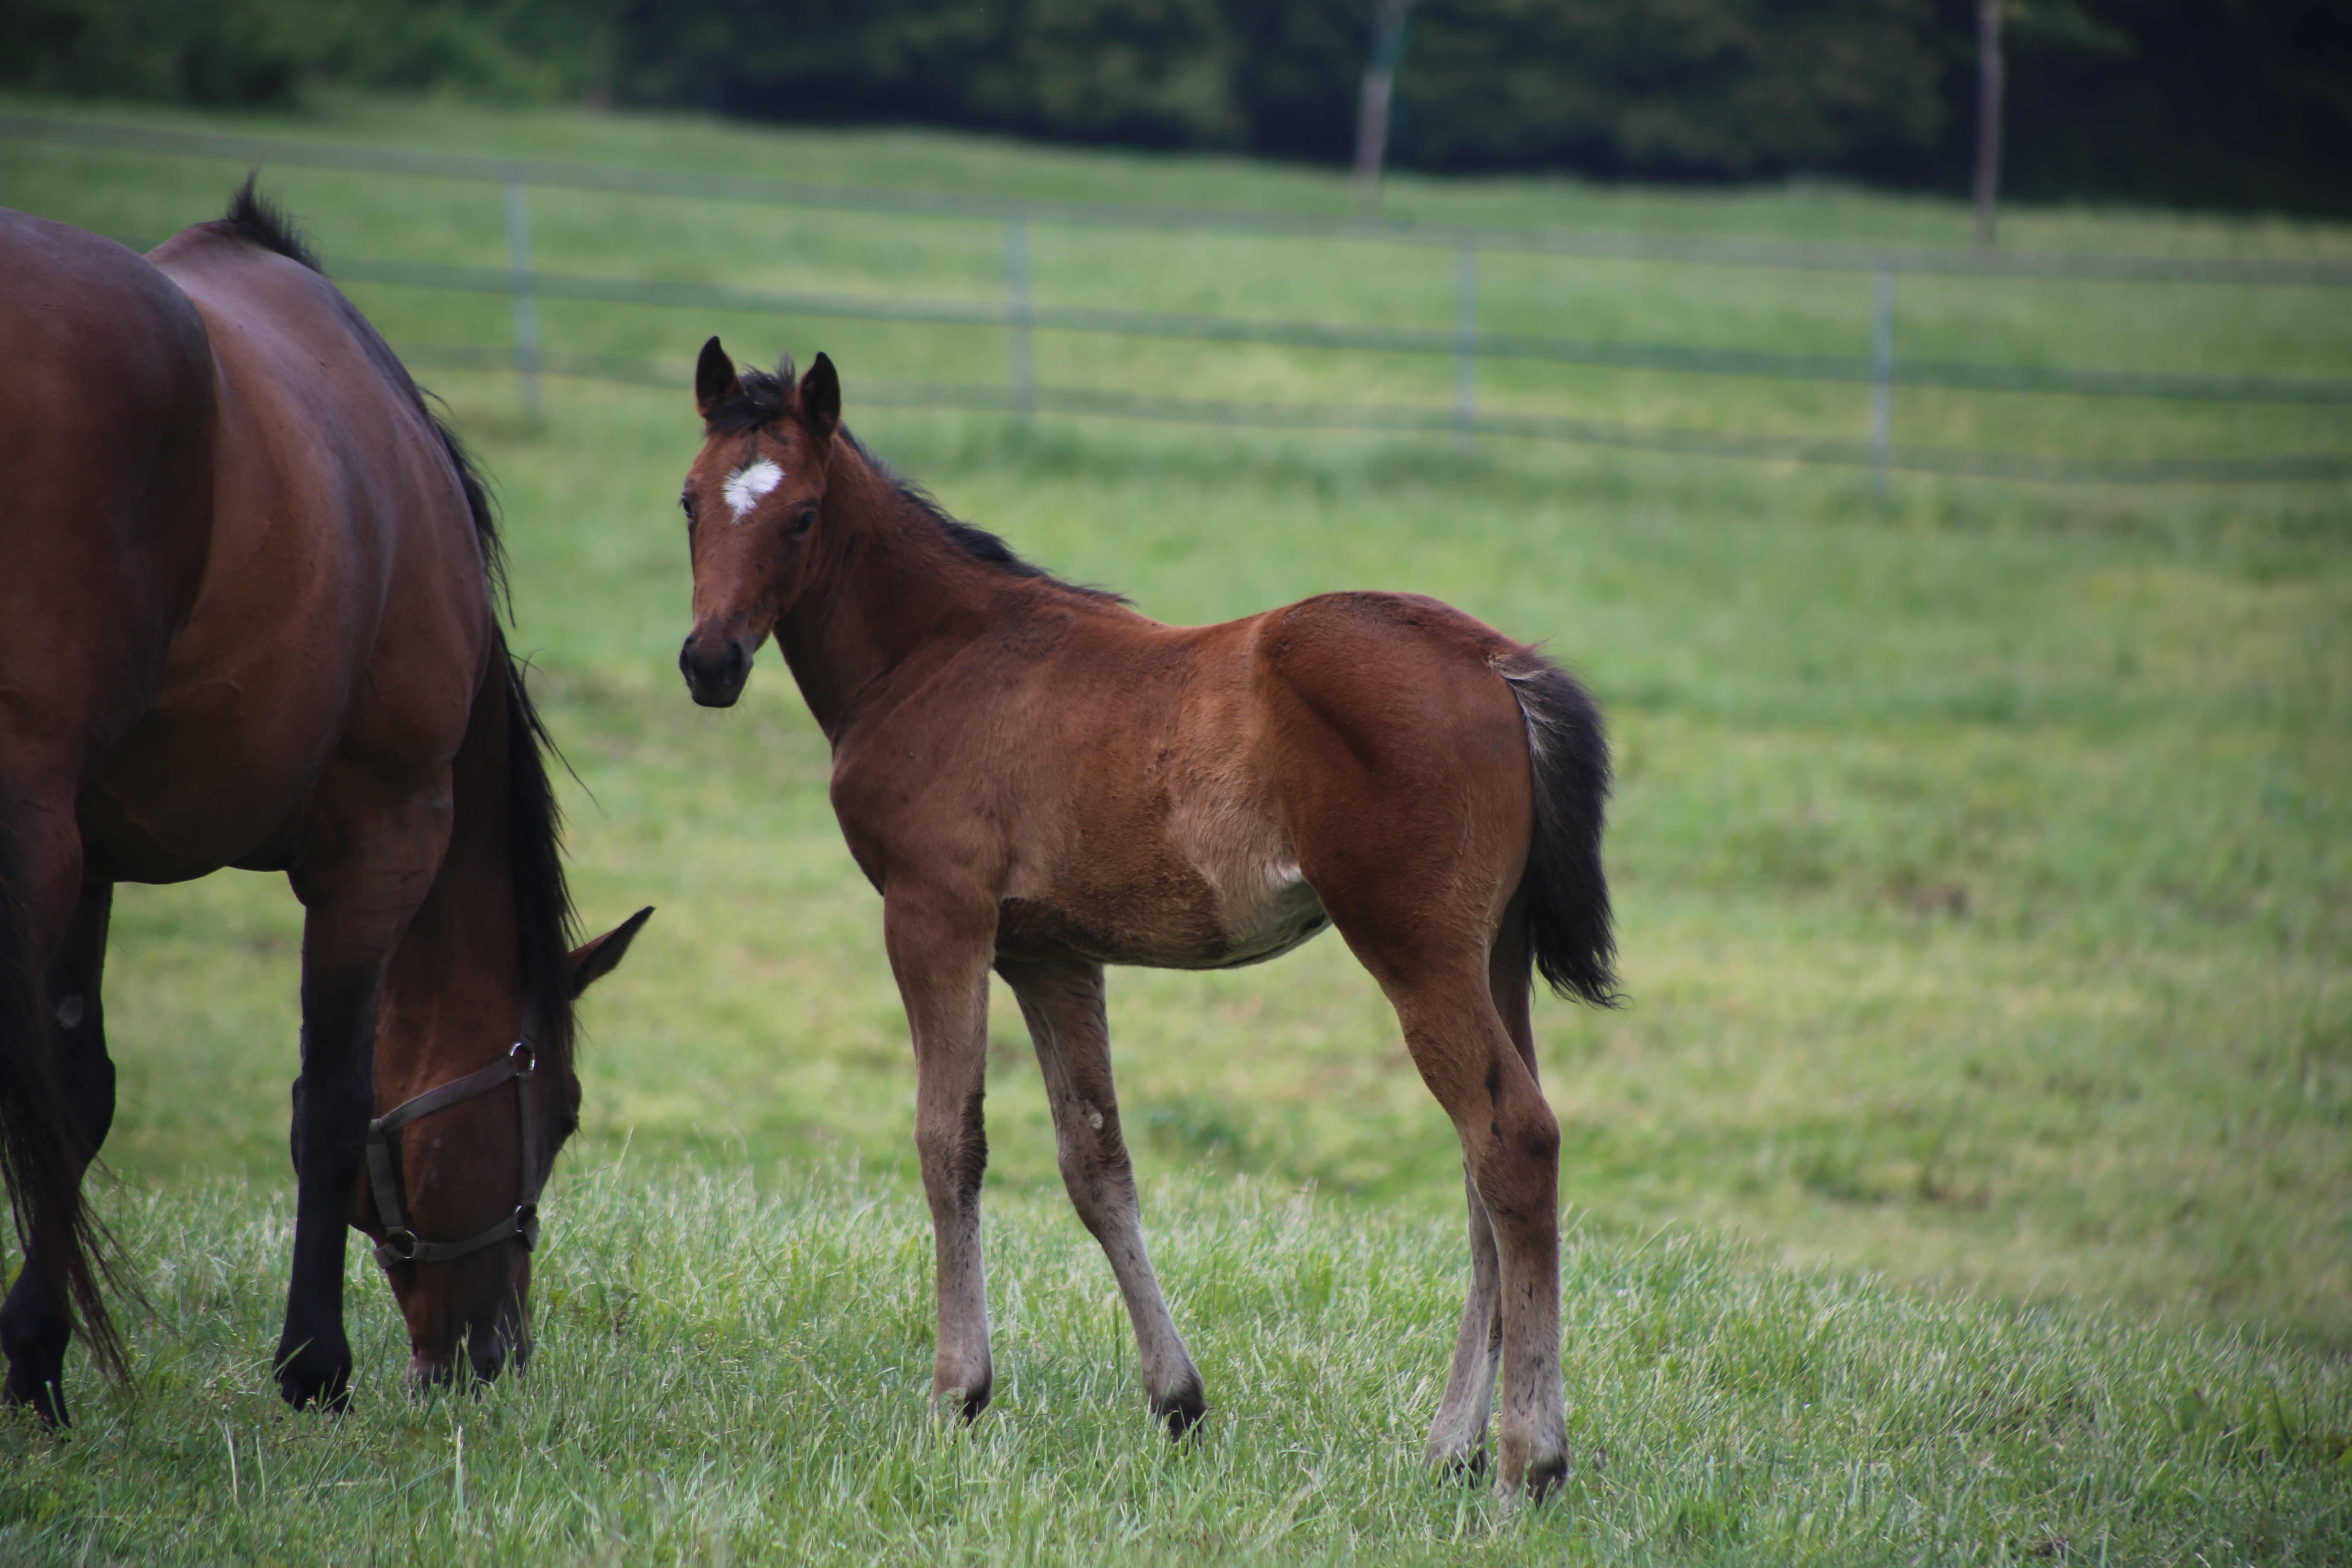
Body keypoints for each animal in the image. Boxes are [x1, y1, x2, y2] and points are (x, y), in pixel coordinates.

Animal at [0, 187, 649, 1420]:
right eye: (564, 1110)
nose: (497, 1353)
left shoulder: (94, 840)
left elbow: (77, 1093)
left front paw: (35, 1358)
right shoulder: (384, 833)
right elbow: (331, 1101)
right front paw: (313, 1365)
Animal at [673, 341, 1608, 1495]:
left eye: (801, 515)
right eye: (688, 502)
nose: (709, 662)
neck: (935, 653)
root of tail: (1494, 662)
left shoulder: (935, 915)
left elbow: (948, 1140)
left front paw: (956, 1393)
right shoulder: (1048, 954)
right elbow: (1095, 1162)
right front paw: (1176, 1401)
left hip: (1415, 948)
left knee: (1511, 1142)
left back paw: (1529, 1457)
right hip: (1495, 951)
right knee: (1488, 1166)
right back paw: (1450, 1446)